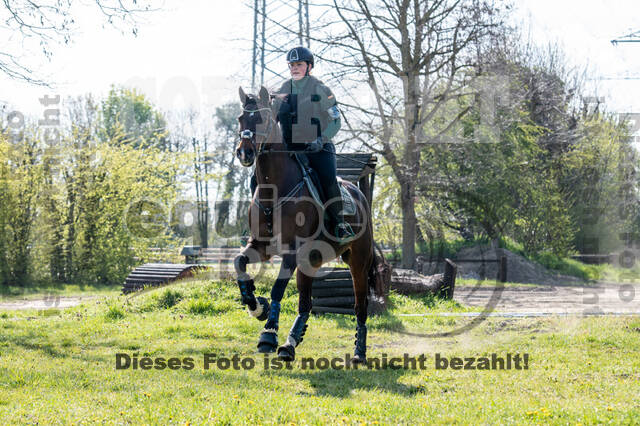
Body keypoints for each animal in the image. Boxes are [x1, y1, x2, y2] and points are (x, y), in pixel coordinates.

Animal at [232, 85, 378, 362]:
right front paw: (257, 307)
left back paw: (359, 352)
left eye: (263, 119)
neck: (275, 190)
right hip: (311, 261)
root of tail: (359, 193)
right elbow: (239, 264)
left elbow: (278, 289)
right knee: (305, 304)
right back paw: (290, 344)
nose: (244, 152)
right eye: (241, 118)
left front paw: (268, 334)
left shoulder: (291, 252)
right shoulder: (261, 246)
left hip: (358, 260)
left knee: (360, 306)